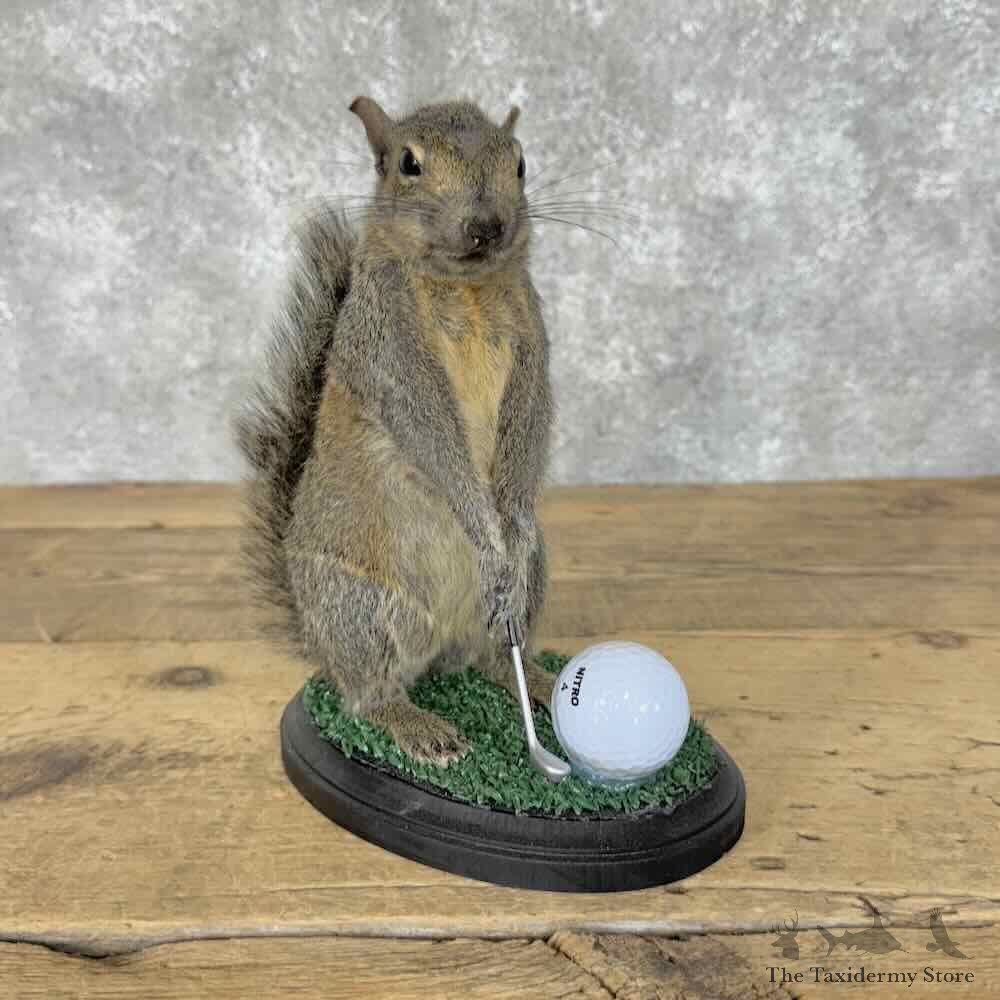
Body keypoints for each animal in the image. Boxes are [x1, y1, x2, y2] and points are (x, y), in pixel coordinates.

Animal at [235, 96, 557, 766]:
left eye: (519, 162)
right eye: (409, 163)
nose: (487, 225)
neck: (465, 286)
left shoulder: (532, 341)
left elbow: (531, 416)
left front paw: (507, 531)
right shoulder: (390, 348)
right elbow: (430, 432)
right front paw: (486, 534)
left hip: (530, 578)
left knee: (494, 655)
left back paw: (533, 677)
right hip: (364, 609)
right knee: (366, 692)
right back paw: (416, 725)